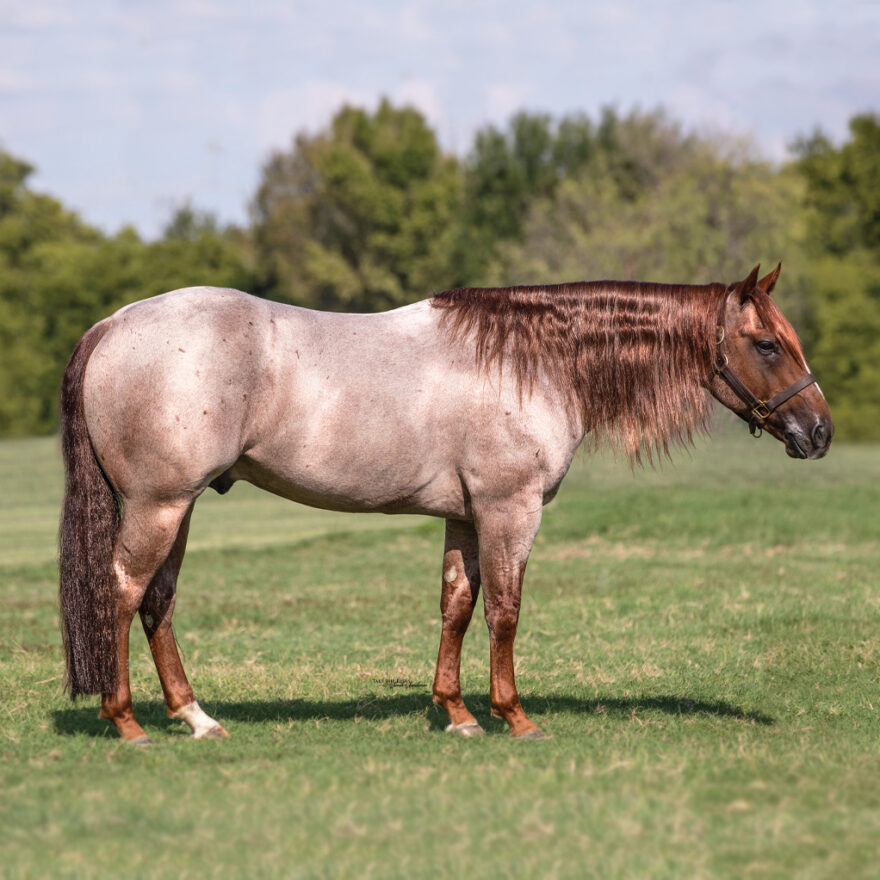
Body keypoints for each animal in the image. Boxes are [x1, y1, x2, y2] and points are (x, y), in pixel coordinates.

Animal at [58, 263, 832, 743]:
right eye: (767, 343)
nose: (819, 432)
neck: (533, 359)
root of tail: (114, 325)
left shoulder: (464, 516)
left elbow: (457, 606)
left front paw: (457, 714)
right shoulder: (510, 510)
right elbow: (506, 612)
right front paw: (514, 717)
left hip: (179, 507)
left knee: (157, 601)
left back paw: (197, 718)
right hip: (159, 504)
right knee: (124, 591)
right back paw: (127, 723)